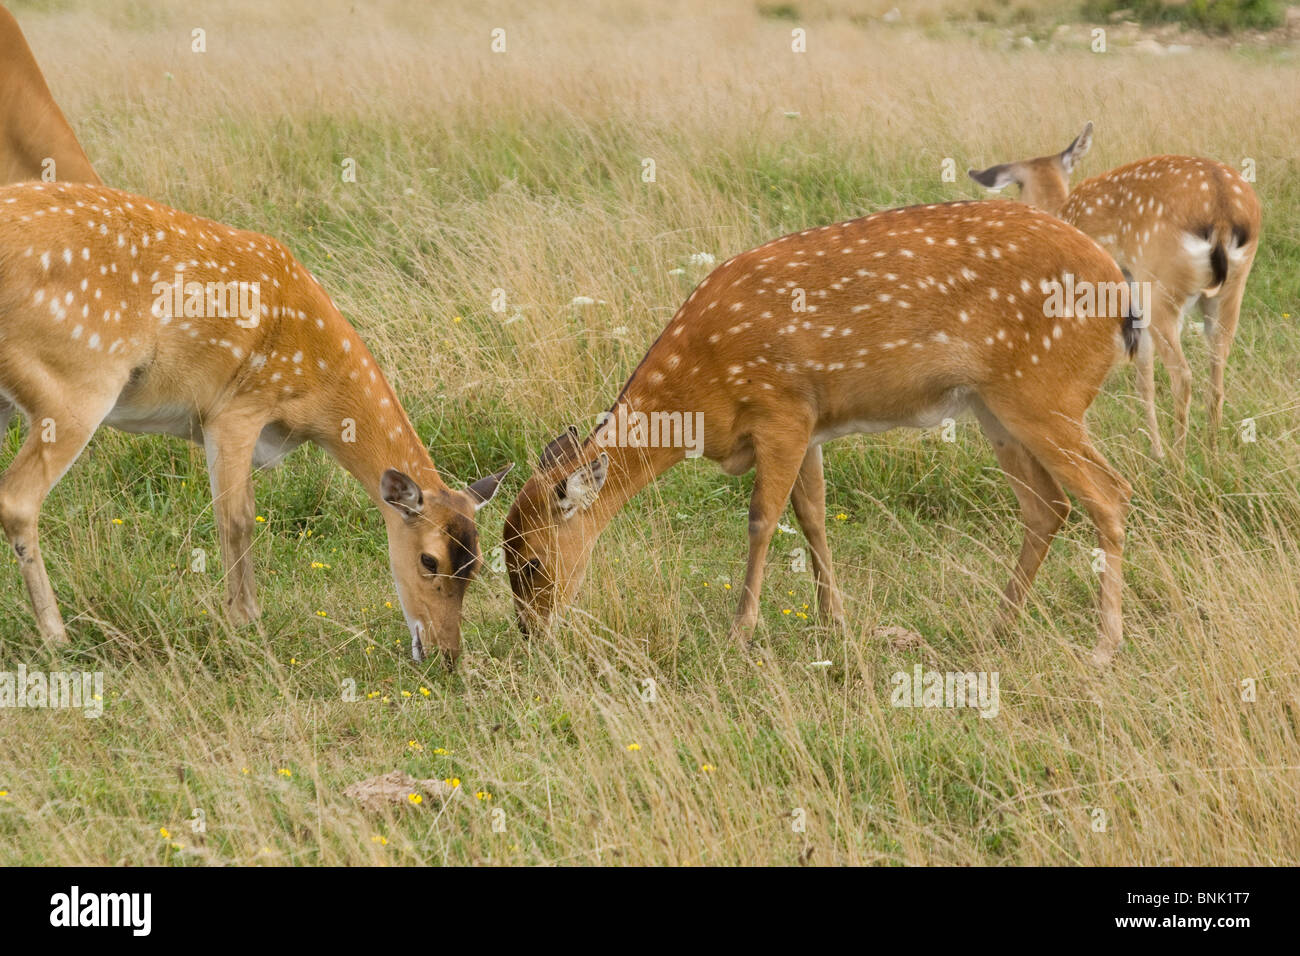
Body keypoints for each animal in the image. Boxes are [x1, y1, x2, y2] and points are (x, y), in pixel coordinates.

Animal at [0, 180, 509, 664]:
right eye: (429, 559)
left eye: (479, 564)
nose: (446, 655)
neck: (314, 390)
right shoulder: (236, 409)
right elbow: (238, 517)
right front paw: (245, 621)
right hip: (78, 383)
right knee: (18, 499)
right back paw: (58, 638)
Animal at [504, 199, 1140, 664]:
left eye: (530, 561)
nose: (532, 633)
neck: (700, 396)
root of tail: (1121, 291)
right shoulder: (809, 425)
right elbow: (813, 516)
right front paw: (837, 624)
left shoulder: (780, 408)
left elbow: (762, 518)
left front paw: (739, 634)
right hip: (996, 406)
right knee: (1048, 506)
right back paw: (995, 628)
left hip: (1046, 390)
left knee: (1110, 492)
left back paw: (1104, 646)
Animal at [968, 123, 1261, 459]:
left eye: (1017, 184)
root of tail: (1221, 210)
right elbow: (1144, 375)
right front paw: (1153, 449)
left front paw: (1156, 452)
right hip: (1230, 292)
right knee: (1217, 370)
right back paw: (1212, 455)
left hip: (1161, 289)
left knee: (1182, 375)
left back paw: (1178, 460)